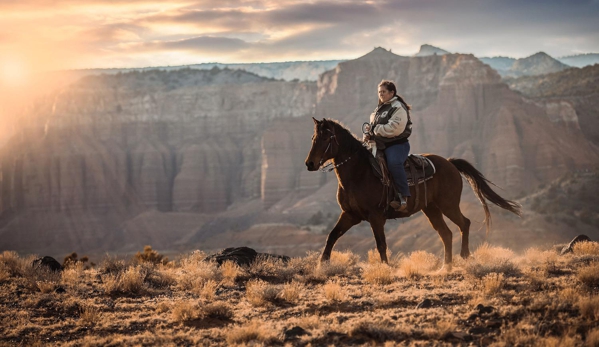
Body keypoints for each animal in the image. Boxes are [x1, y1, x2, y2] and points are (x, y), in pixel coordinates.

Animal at [304, 117, 520, 270]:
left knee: (464, 223)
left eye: (325, 138)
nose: (309, 164)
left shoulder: (376, 217)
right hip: (431, 209)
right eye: (313, 138)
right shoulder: (350, 215)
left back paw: (464, 256)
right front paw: (322, 265)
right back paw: (446, 266)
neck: (359, 173)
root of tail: (450, 163)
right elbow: (332, 236)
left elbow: (381, 244)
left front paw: (386, 269)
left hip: (448, 205)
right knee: (446, 233)